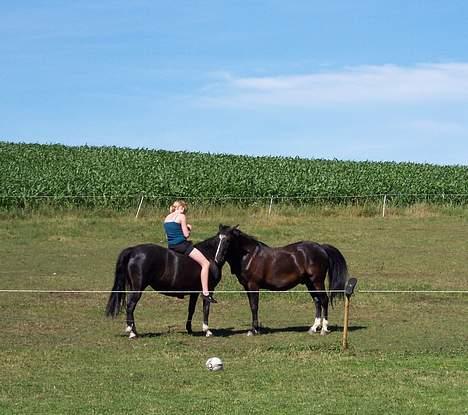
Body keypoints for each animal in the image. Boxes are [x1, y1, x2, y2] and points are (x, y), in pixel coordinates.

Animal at [105, 226, 238, 340]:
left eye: (228, 240)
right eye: (219, 239)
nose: (218, 258)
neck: (209, 256)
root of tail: (133, 250)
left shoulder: (194, 292)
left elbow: (191, 310)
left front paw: (189, 329)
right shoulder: (208, 290)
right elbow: (206, 309)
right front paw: (207, 331)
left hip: (132, 287)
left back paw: (134, 331)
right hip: (138, 288)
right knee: (130, 306)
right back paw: (132, 333)